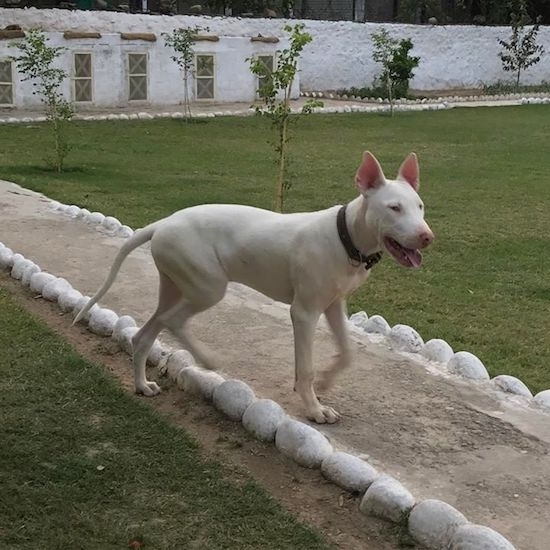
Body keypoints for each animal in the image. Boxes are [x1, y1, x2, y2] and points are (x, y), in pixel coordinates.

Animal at [74, 153, 436, 424]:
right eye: (394, 208)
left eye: (420, 206)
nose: (426, 237)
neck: (346, 236)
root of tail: (163, 222)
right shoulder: (304, 312)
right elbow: (305, 367)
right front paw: (314, 409)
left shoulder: (334, 305)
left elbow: (347, 352)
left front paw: (325, 381)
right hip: (208, 286)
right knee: (174, 321)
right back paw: (207, 359)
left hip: (175, 285)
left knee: (146, 333)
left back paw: (141, 385)